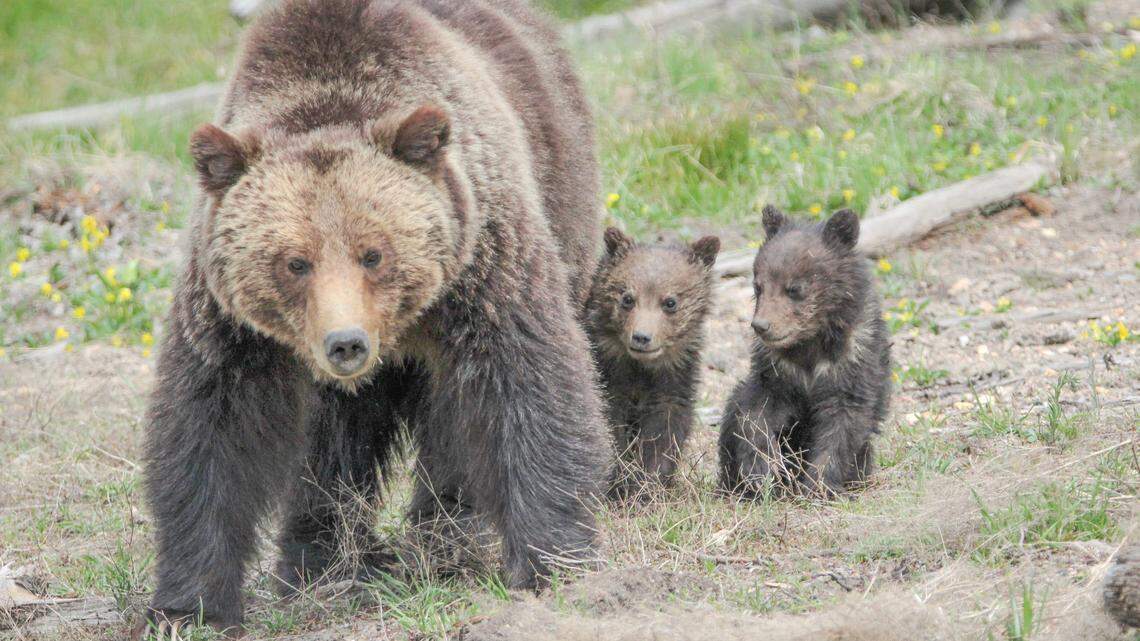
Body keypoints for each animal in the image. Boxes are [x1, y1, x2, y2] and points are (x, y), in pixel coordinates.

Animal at [134, 0, 607, 637]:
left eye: (373, 253)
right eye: (295, 261)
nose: (346, 344)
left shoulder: (482, 264)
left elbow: (527, 383)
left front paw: (553, 558)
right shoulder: (229, 321)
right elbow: (211, 429)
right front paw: (191, 606)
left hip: (560, 182)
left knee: (448, 422)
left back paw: (444, 540)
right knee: (334, 439)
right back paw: (323, 561)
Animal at [585, 228, 720, 500]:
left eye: (670, 302)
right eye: (627, 298)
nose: (641, 337)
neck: (640, 368)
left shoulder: (675, 377)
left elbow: (665, 430)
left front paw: (649, 482)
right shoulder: (609, 372)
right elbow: (611, 424)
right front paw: (621, 483)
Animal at [718, 206, 890, 499]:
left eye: (794, 288)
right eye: (758, 286)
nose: (761, 325)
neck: (810, 342)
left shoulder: (851, 361)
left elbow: (843, 422)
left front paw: (818, 484)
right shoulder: (777, 370)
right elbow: (756, 414)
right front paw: (762, 471)